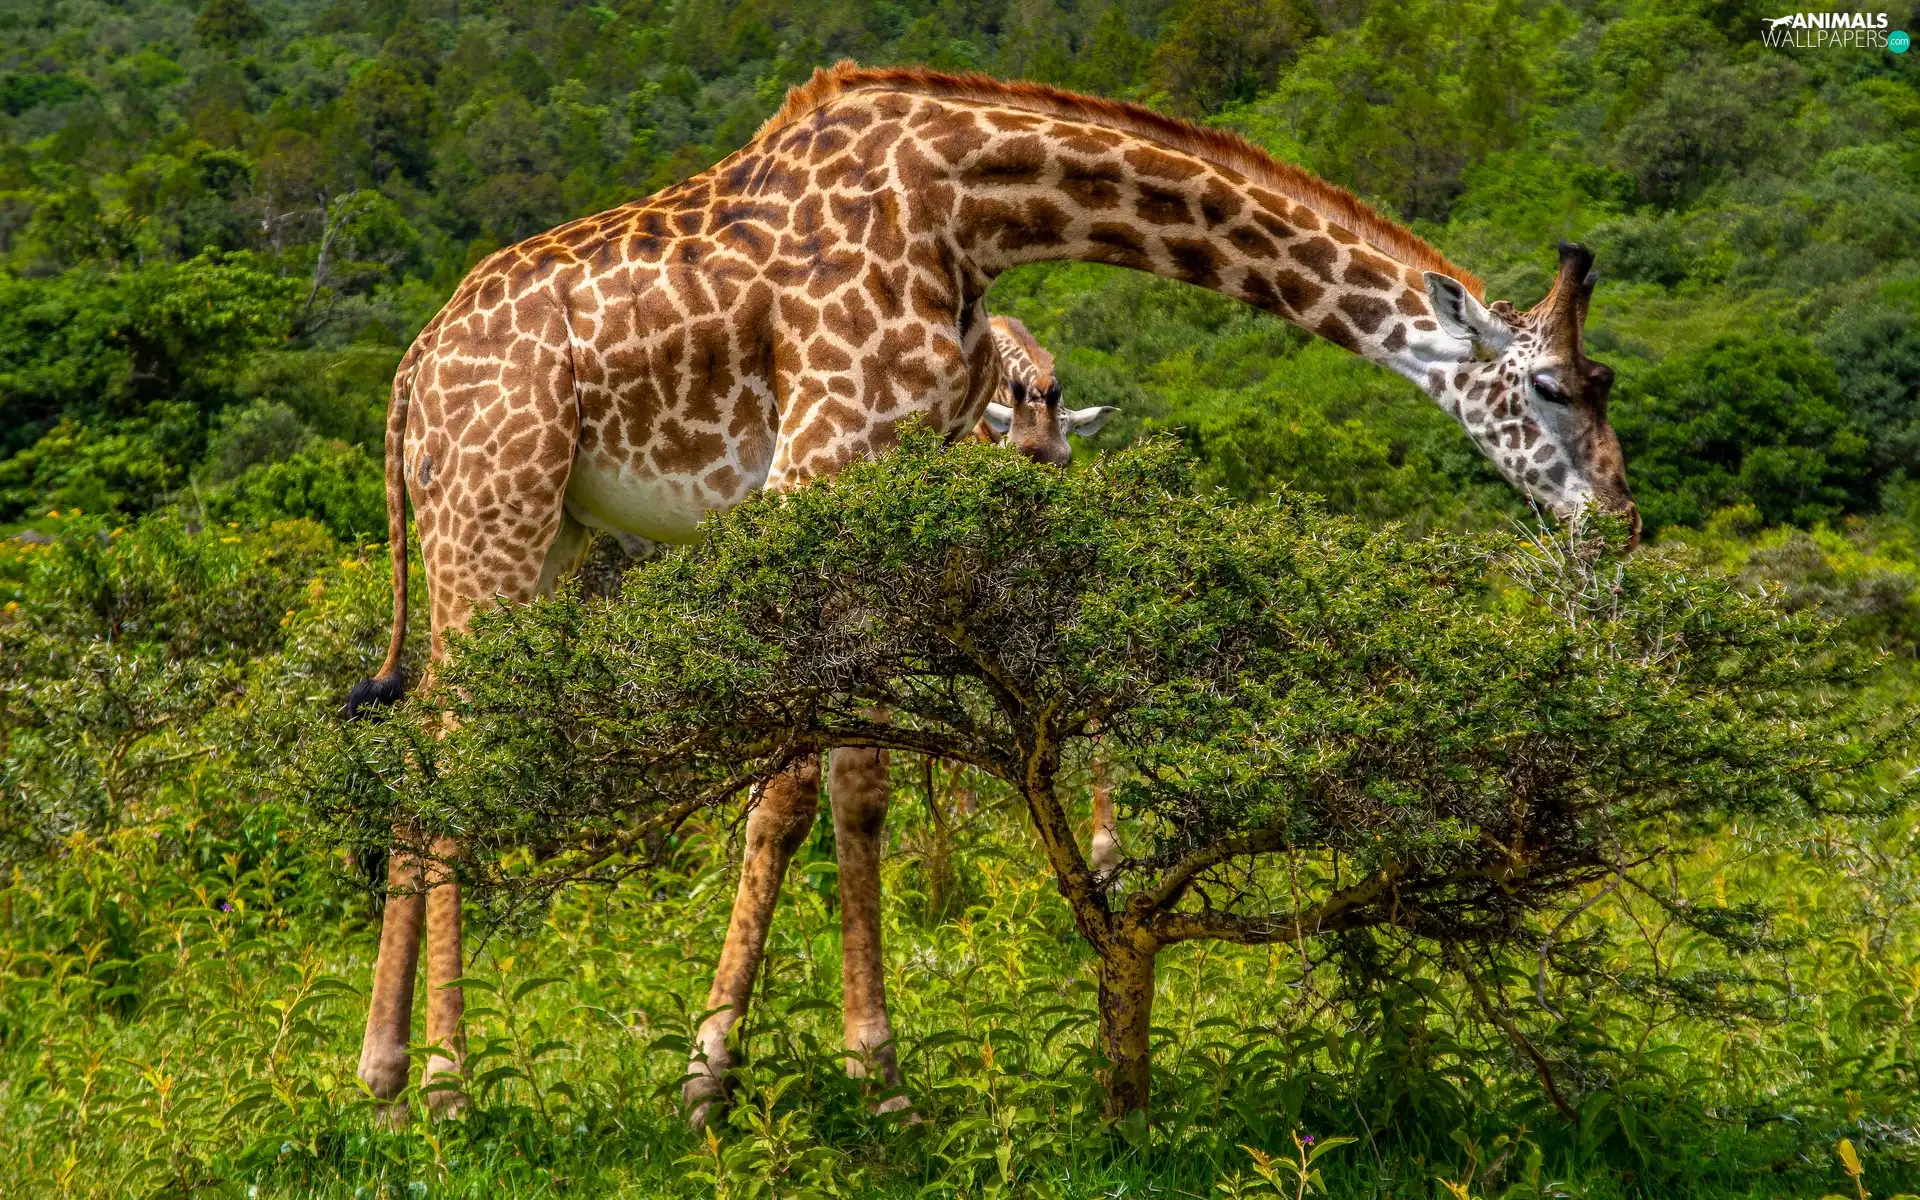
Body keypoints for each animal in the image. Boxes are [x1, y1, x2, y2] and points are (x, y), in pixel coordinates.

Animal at [345, 56, 1635, 1121]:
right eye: (1559, 388)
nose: (1619, 525)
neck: (976, 209)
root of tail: (409, 377)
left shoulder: (885, 468)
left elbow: (853, 786)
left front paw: (834, 1076)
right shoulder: (820, 458)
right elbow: (800, 781)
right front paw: (751, 1081)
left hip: (539, 528)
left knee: (424, 734)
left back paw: (386, 1078)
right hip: (497, 505)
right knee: (457, 748)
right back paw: (453, 1084)